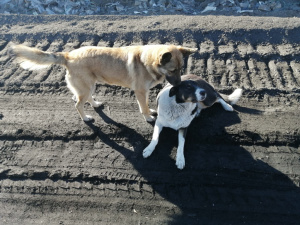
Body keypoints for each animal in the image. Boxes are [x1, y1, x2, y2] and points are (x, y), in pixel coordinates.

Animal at [9, 43, 197, 121]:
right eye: (172, 70)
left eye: (181, 69)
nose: (178, 85)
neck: (147, 61)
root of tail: (68, 56)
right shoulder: (140, 91)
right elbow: (142, 107)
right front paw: (148, 117)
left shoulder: (144, 92)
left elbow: (145, 104)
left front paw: (150, 111)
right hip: (86, 87)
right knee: (78, 104)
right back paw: (86, 119)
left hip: (90, 85)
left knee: (86, 99)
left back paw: (96, 104)